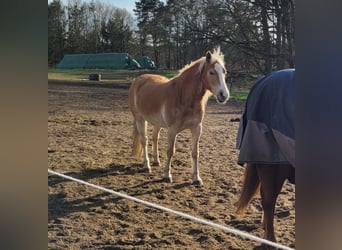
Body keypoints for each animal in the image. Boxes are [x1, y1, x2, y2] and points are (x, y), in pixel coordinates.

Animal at [128, 47, 230, 185]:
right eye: (211, 72)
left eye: (224, 72)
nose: (224, 95)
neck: (183, 97)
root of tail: (138, 80)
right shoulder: (172, 130)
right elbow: (170, 151)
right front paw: (167, 175)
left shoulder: (197, 128)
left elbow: (195, 153)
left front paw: (196, 178)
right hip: (140, 119)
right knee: (145, 141)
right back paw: (147, 165)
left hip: (157, 123)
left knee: (155, 138)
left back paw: (156, 161)